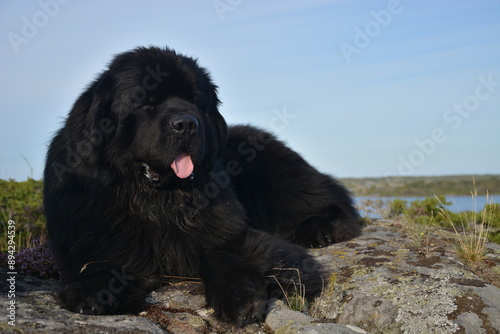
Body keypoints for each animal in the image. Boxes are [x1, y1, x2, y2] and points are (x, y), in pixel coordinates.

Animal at [44, 47, 360, 326]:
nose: (186, 124)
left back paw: (319, 230)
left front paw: (240, 300)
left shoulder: (230, 232)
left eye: (195, 101)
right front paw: (92, 293)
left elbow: (223, 253)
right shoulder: (95, 235)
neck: (160, 199)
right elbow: (100, 262)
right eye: (146, 102)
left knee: (331, 201)